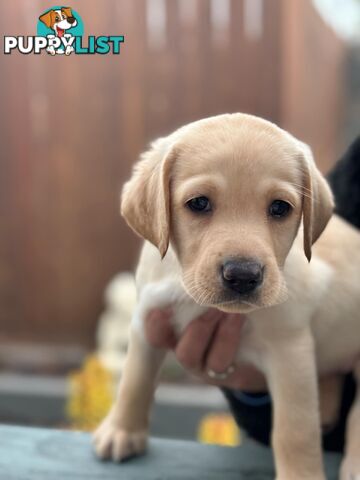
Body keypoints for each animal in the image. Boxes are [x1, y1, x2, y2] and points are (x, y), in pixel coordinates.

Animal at [93, 113, 360, 480]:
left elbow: (294, 429)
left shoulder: (290, 351)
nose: (243, 275)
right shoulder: (146, 319)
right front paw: (121, 431)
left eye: (280, 208)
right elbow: (134, 378)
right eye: (199, 203)